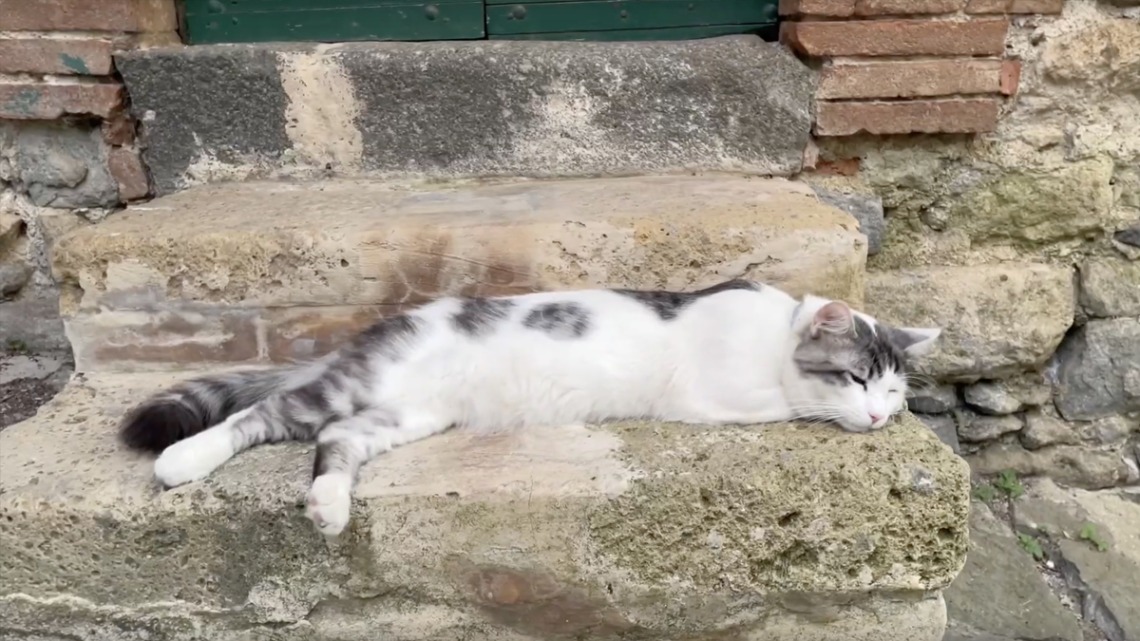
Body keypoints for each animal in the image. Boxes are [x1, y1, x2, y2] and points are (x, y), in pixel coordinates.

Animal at [117, 279, 943, 533]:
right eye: (857, 378)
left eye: (894, 389)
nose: (881, 416)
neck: (772, 332)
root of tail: (371, 331)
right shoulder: (719, 394)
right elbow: (787, 403)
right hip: (349, 388)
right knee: (258, 416)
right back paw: (182, 460)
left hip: (403, 416)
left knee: (337, 441)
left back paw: (328, 505)